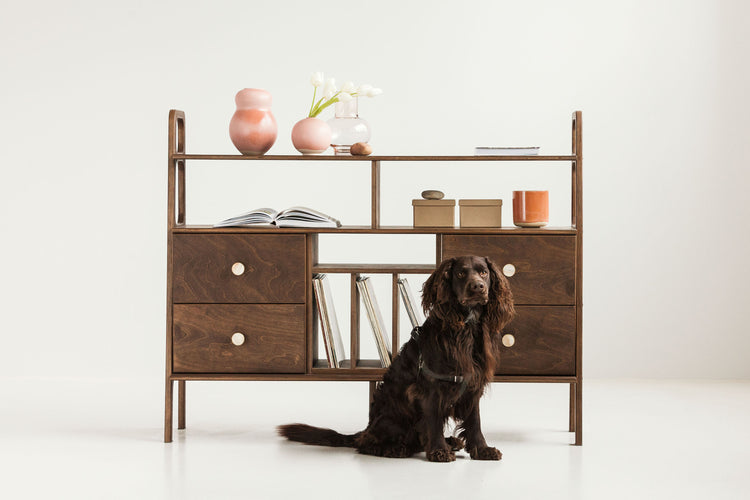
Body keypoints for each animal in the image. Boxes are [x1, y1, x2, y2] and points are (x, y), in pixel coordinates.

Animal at [280, 256, 516, 462]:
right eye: (460, 273)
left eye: (484, 272)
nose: (478, 287)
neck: (465, 327)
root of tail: (367, 427)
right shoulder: (430, 387)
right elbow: (434, 421)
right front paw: (439, 451)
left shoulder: (472, 384)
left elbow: (475, 422)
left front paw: (482, 450)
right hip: (395, 415)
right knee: (367, 442)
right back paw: (396, 448)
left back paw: (451, 442)